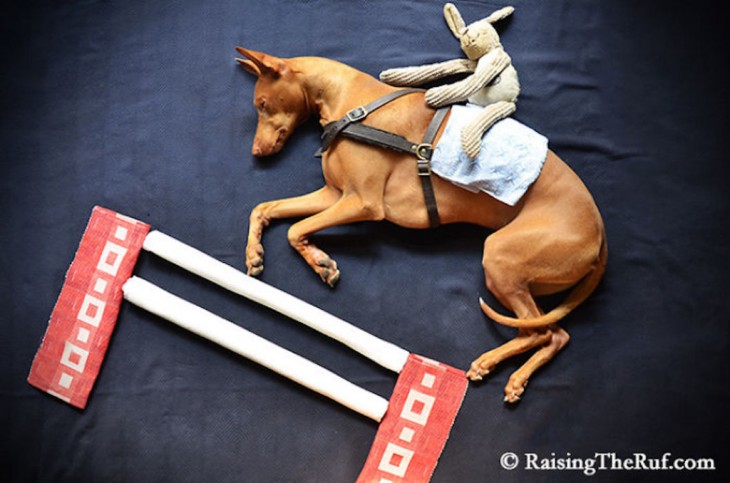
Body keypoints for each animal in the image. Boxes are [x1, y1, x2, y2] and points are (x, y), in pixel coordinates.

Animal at [236, 47, 604, 402]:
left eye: (262, 104)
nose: (255, 152)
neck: (353, 105)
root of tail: (601, 241)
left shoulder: (362, 202)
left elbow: (295, 228)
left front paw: (319, 261)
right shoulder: (335, 194)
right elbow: (265, 210)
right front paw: (260, 254)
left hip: (500, 257)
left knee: (541, 331)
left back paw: (491, 364)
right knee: (555, 333)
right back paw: (514, 378)